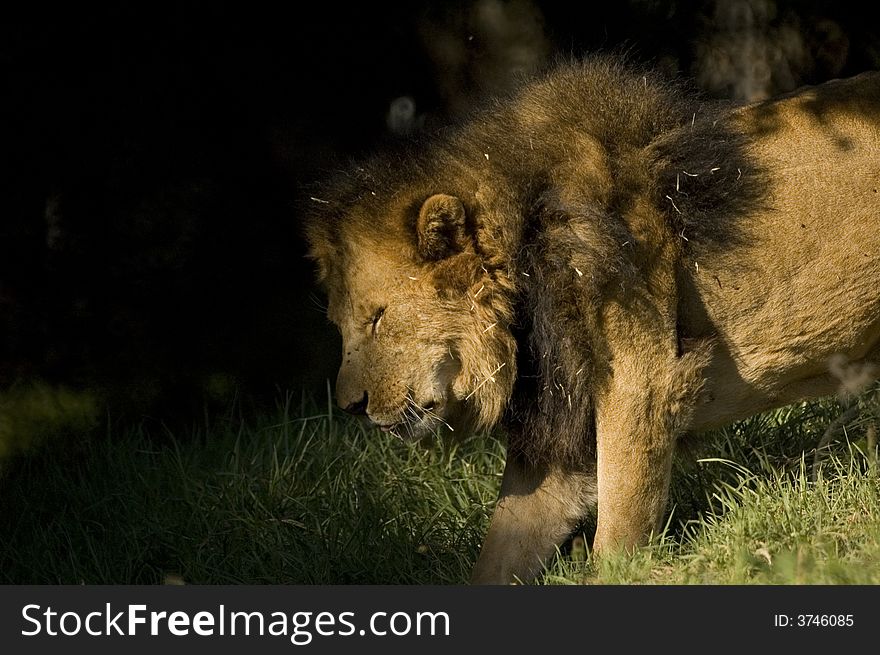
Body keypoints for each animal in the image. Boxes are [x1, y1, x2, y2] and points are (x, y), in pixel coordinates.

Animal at [304, 59, 880, 588]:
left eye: (378, 318)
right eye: (341, 326)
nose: (349, 407)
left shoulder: (641, 382)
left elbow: (617, 530)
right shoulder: (566, 427)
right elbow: (501, 549)